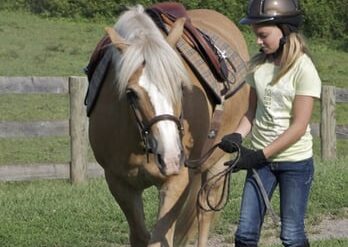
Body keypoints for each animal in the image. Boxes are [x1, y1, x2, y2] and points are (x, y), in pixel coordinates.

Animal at [88, 4, 249, 247]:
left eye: (181, 86)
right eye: (130, 93)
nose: (171, 156)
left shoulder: (176, 182)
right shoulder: (120, 184)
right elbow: (140, 236)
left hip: (219, 162)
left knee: (204, 211)